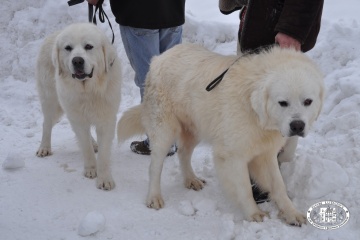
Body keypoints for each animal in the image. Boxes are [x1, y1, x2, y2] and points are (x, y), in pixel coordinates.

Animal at [35, 23, 121, 191]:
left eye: (88, 46)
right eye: (68, 48)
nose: (77, 61)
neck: (88, 91)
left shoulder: (106, 120)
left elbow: (103, 153)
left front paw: (104, 178)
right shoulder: (78, 119)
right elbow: (85, 146)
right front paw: (91, 170)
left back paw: (94, 143)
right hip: (51, 102)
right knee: (46, 124)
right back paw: (44, 147)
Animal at [117, 43, 324, 225]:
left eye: (307, 101)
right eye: (283, 103)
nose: (297, 126)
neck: (254, 110)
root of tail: (159, 57)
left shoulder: (265, 154)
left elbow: (278, 185)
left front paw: (291, 212)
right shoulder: (232, 156)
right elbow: (244, 188)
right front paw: (254, 213)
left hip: (195, 127)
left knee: (183, 153)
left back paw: (191, 179)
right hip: (164, 130)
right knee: (155, 166)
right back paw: (154, 197)